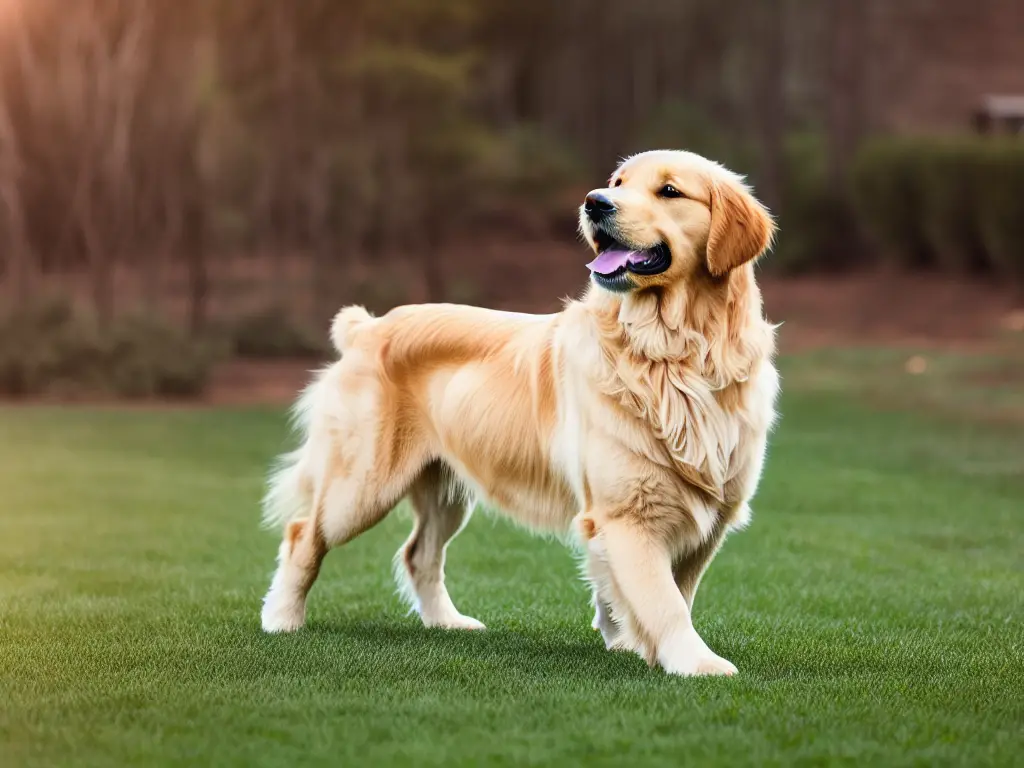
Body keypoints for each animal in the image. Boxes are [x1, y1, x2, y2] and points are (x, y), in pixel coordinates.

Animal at [260, 147, 778, 675]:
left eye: (669, 190)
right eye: (617, 182)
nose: (594, 202)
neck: (673, 355)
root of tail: (368, 326)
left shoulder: (705, 515)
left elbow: (668, 592)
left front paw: (631, 641)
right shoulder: (627, 514)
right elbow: (665, 600)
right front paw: (697, 664)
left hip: (445, 488)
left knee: (418, 554)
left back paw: (448, 622)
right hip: (362, 484)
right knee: (303, 534)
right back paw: (282, 618)